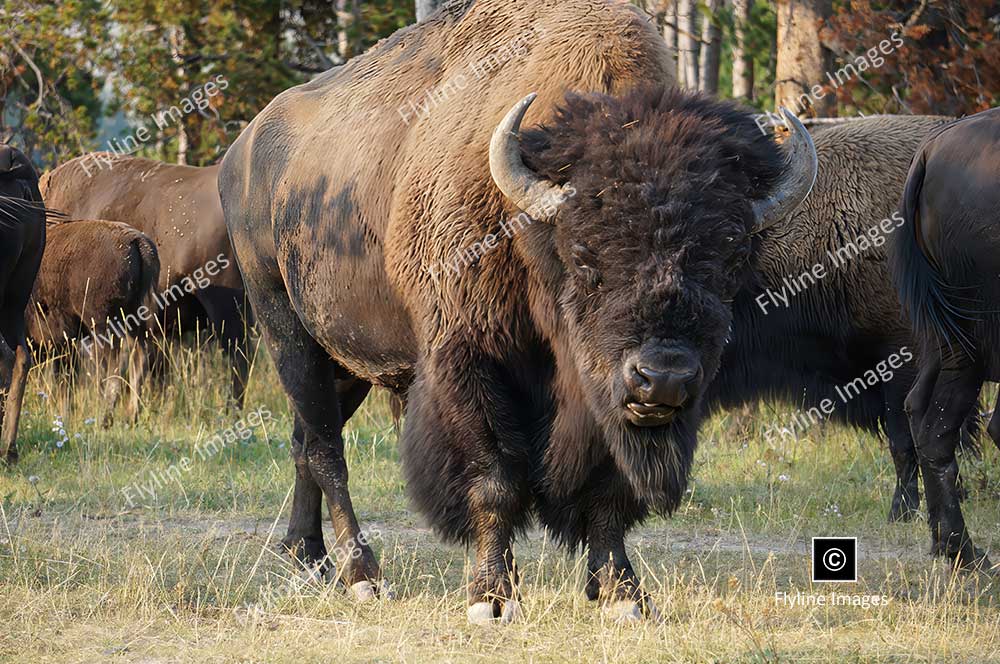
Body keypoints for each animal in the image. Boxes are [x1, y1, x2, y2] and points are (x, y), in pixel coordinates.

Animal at [27, 219, 160, 421]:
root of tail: (137, 240)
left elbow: (64, 381)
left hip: (103, 324)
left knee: (116, 366)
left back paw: (106, 418)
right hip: (134, 319)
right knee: (139, 357)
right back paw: (131, 416)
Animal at [218, 0, 817, 622]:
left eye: (732, 259)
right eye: (585, 256)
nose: (663, 378)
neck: (528, 228)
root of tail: (242, 151)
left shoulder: (599, 399)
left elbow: (608, 489)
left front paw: (623, 595)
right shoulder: (469, 362)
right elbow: (494, 480)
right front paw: (491, 598)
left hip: (347, 359)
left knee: (303, 442)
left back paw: (309, 561)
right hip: (285, 329)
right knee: (325, 447)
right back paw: (362, 576)